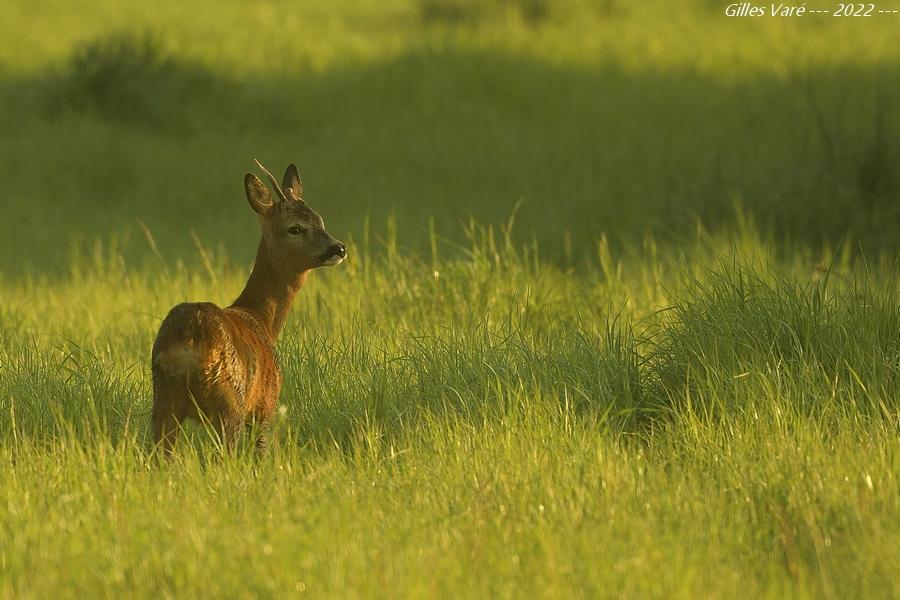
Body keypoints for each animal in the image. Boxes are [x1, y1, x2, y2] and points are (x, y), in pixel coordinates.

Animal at [149, 161, 346, 454]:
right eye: (295, 228)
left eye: (320, 220)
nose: (339, 248)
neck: (261, 319)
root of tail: (188, 341)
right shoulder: (265, 404)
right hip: (229, 401)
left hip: (162, 400)